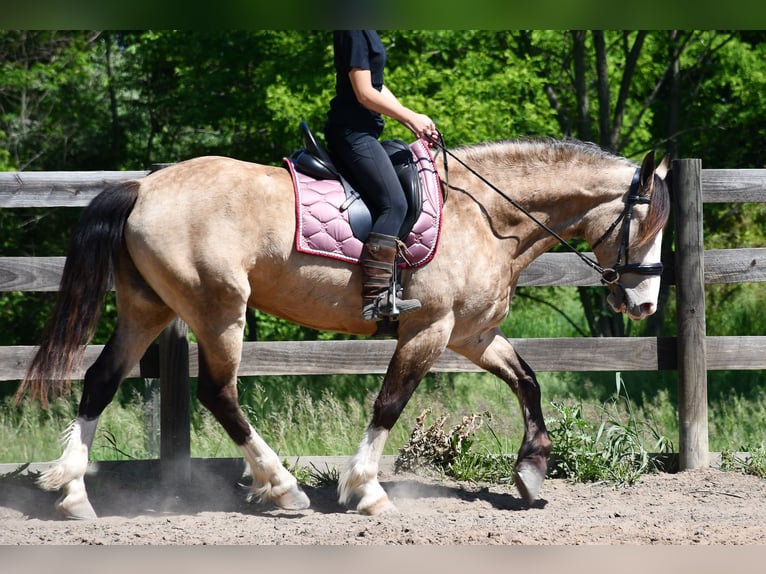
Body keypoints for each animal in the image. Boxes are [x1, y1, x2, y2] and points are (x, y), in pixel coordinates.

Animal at [16, 137, 670, 519]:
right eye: (646, 222)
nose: (642, 304)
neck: (485, 213)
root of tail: (144, 186)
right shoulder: (428, 329)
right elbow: (390, 404)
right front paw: (366, 489)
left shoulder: (471, 335)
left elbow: (527, 381)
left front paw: (531, 472)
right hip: (219, 310)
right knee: (219, 394)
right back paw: (283, 487)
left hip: (147, 308)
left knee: (101, 381)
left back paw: (74, 493)